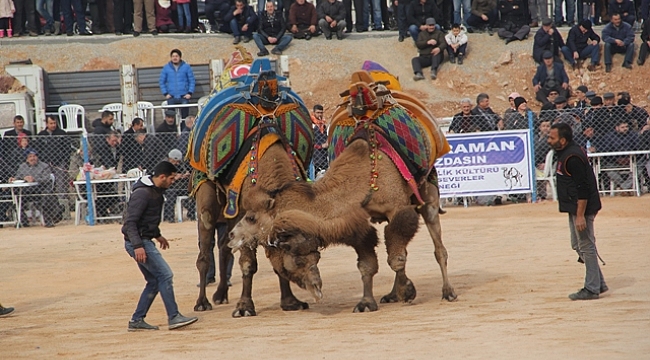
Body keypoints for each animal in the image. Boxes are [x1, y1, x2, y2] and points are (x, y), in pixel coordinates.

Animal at [228, 65, 456, 312]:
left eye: (252, 218)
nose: (232, 235)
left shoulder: (399, 209)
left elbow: (396, 258)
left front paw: (408, 291)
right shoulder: (356, 222)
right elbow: (368, 264)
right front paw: (367, 302)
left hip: (428, 191)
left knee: (437, 245)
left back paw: (448, 291)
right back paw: (392, 295)